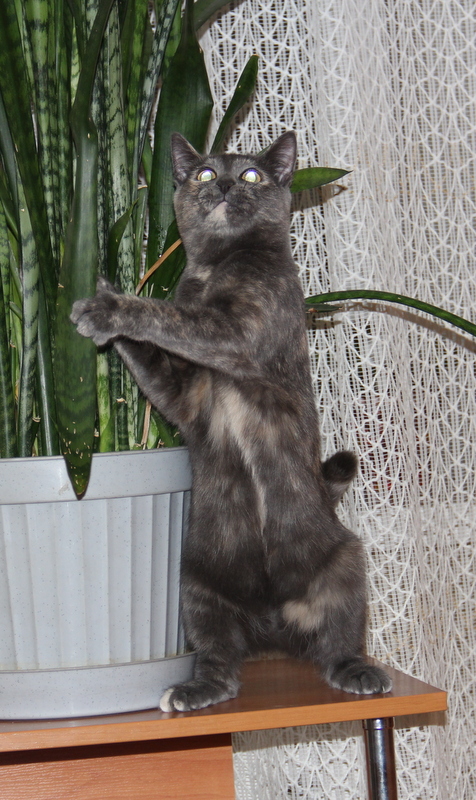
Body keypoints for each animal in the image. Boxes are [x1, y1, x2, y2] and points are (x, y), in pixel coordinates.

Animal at [71, 131, 392, 711]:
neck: (210, 269)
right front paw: (109, 299)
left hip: (343, 564)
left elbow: (172, 318)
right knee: (220, 655)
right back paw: (196, 688)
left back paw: (359, 672)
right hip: (196, 586)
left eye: (251, 175)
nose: (221, 184)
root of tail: (271, 623)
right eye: (202, 172)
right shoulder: (184, 393)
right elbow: (155, 353)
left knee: (339, 637)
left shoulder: (239, 331)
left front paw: (109, 307)